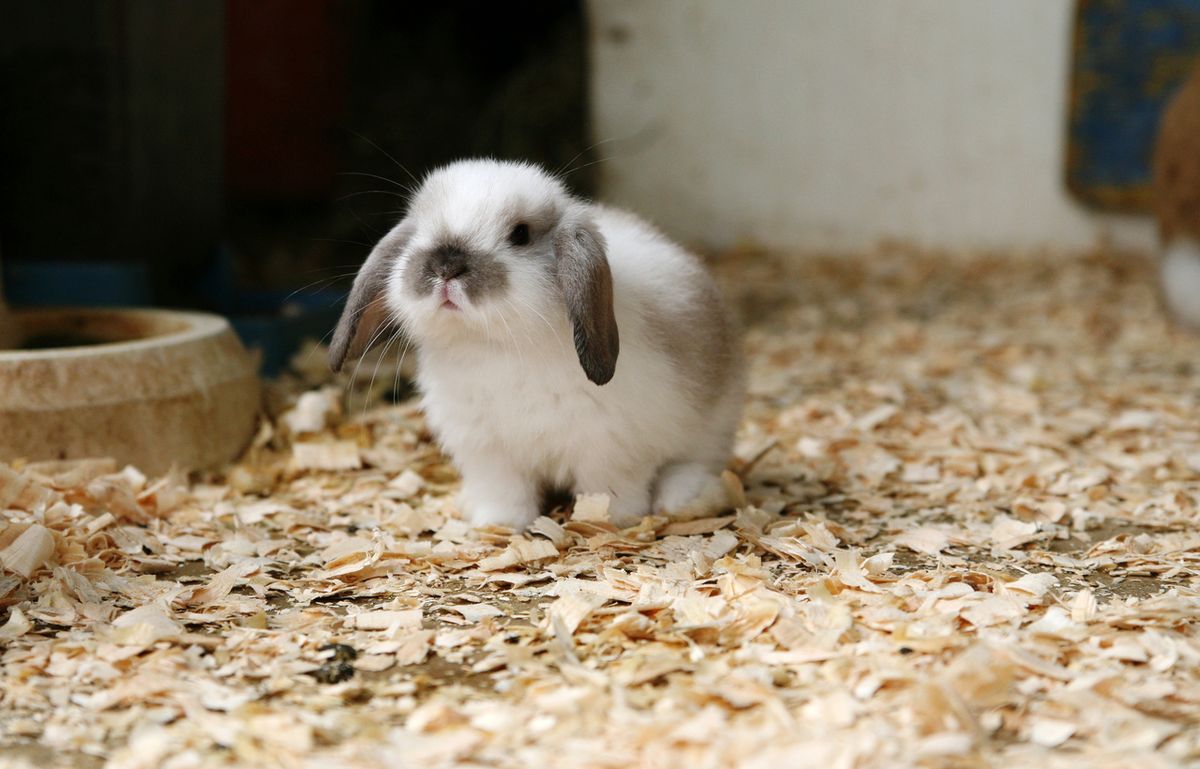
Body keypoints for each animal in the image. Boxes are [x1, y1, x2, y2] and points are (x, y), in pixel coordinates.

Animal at [329, 159, 744, 530]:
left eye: (521, 234)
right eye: (421, 230)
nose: (446, 266)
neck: (494, 346)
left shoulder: (609, 450)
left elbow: (608, 491)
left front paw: (608, 522)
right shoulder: (489, 453)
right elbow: (505, 494)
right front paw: (498, 525)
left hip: (711, 429)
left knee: (694, 463)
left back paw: (682, 499)